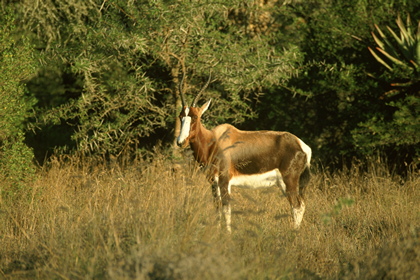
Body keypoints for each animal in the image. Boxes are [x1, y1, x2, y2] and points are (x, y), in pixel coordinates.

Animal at [177, 74, 312, 232]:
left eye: (195, 117)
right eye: (181, 116)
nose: (181, 141)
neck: (215, 140)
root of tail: (301, 145)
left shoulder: (225, 181)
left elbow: (226, 208)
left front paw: (227, 234)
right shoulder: (213, 182)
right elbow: (217, 208)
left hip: (289, 181)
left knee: (297, 206)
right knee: (300, 205)